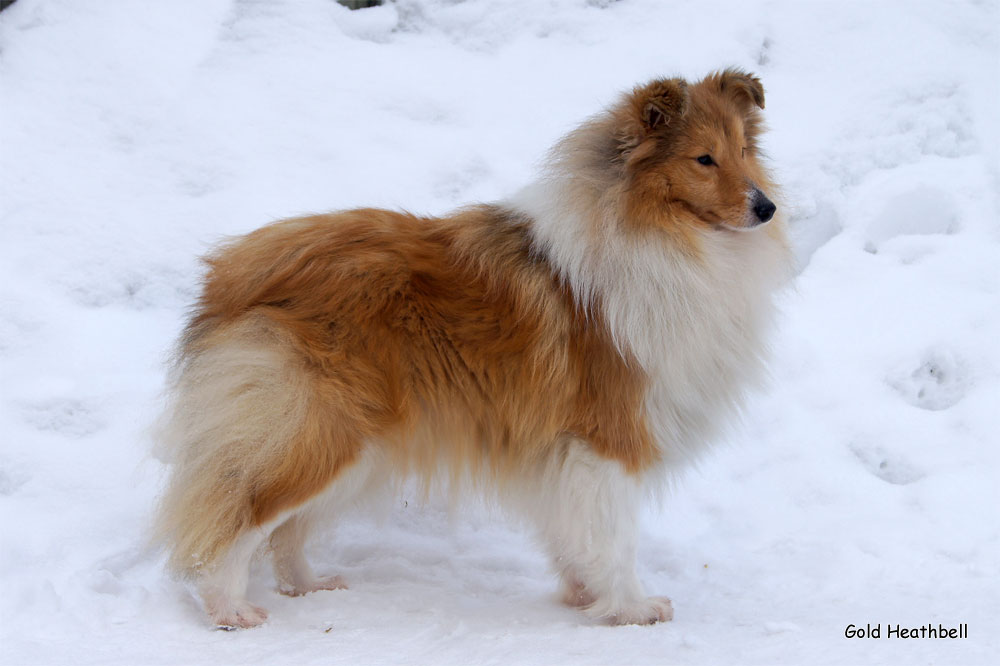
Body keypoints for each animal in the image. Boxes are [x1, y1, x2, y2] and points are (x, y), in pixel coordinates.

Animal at [154, 70, 788, 624]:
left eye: (743, 150)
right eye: (702, 158)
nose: (767, 208)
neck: (660, 234)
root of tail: (237, 270)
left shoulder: (564, 453)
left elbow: (573, 531)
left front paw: (584, 594)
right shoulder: (607, 440)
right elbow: (614, 535)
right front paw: (631, 608)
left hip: (355, 444)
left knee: (284, 531)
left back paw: (308, 586)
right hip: (318, 429)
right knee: (236, 522)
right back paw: (229, 610)